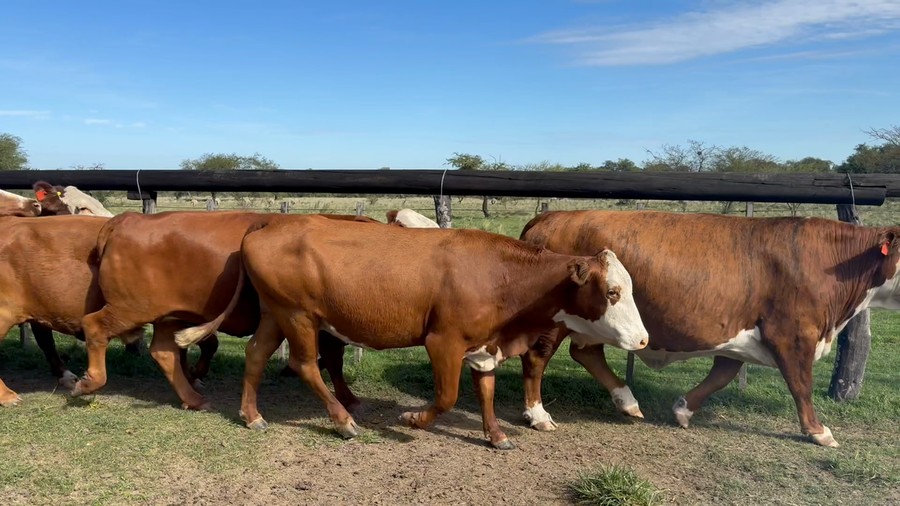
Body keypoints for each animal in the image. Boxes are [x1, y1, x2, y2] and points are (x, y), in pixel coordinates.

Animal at [70, 212, 384, 413]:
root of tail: (129, 218)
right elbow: (333, 359)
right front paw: (348, 399)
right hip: (129, 308)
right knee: (95, 326)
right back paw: (89, 381)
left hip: (169, 315)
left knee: (163, 352)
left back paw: (194, 398)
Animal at [175, 215, 648, 449]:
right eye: (612, 291)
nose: (643, 340)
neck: (502, 275)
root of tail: (269, 224)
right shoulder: (443, 343)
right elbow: (447, 397)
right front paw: (413, 419)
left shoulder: (484, 347)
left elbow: (487, 393)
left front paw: (496, 436)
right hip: (299, 317)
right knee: (306, 364)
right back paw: (343, 422)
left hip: (276, 313)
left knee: (256, 354)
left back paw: (251, 415)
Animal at [516, 210, 900, 448]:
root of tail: (551, 215)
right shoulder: (793, 335)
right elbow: (800, 384)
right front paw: (818, 431)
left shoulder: (739, 335)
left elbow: (722, 374)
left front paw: (683, 409)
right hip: (555, 321)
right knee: (538, 358)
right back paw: (538, 414)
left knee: (586, 351)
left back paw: (628, 401)